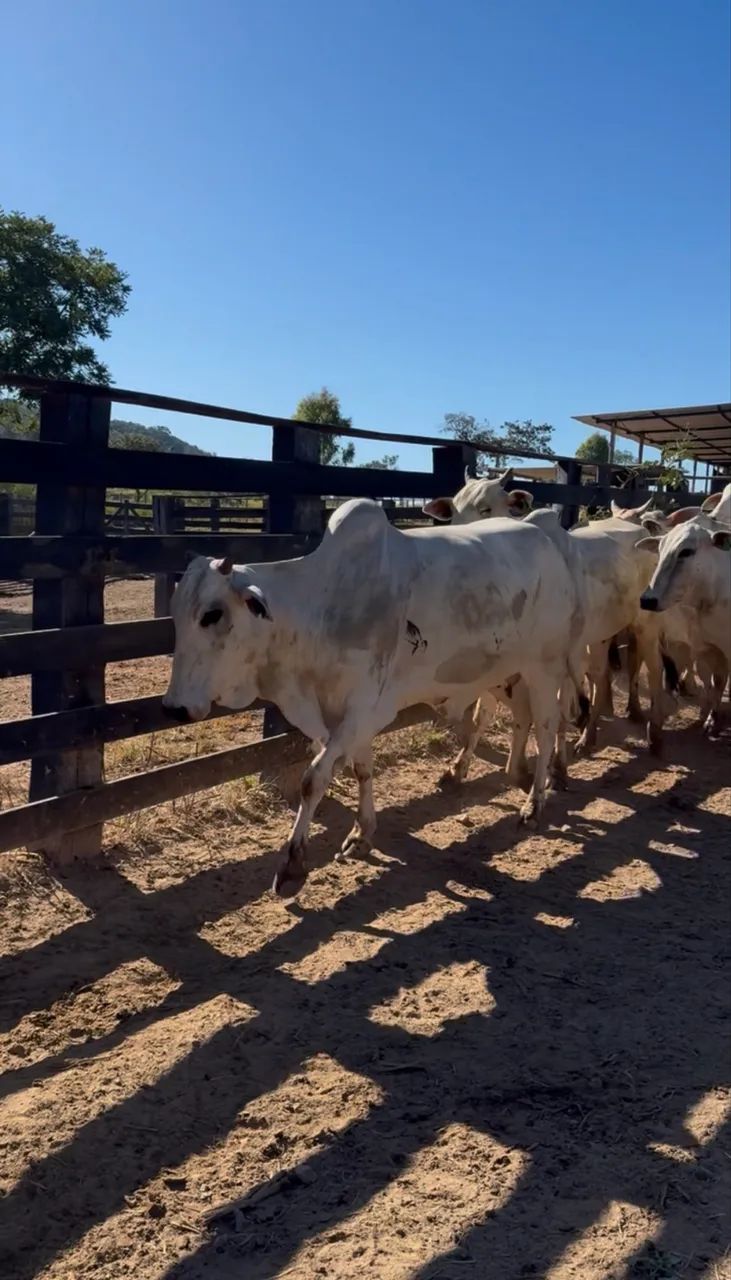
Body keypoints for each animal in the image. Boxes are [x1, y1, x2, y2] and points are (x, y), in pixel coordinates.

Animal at [163, 499, 584, 897]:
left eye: (212, 614)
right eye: (177, 615)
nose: (173, 707)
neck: (320, 609)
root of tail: (544, 534)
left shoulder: (364, 710)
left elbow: (314, 779)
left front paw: (292, 867)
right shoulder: (337, 718)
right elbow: (360, 769)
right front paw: (361, 834)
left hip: (545, 666)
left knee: (547, 727)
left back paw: (535, 803)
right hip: (505, 674)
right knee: (520, 718)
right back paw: (514, 774)